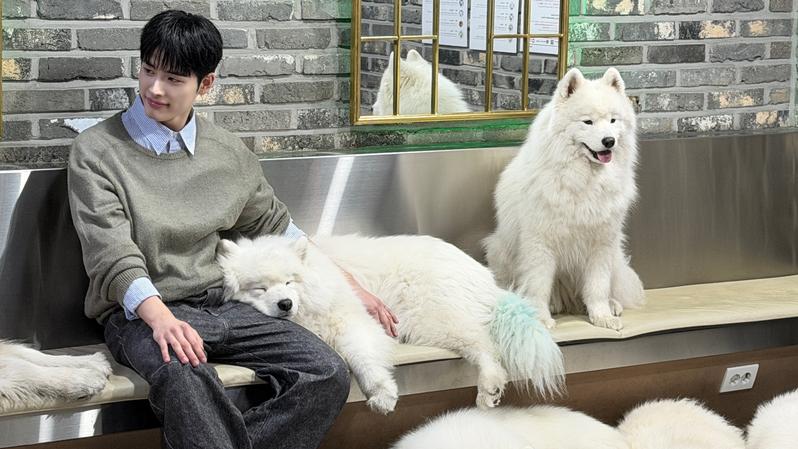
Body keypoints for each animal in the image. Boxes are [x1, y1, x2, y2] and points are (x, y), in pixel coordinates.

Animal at [216, 234, 564, 414]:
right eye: (259, 288)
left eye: (290, 282)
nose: (285, 304)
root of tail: (486, 279)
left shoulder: (352, 320)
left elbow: (364, 358)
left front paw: (382, 395)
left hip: (433, 317)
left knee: (484, 346)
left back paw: (489, 386)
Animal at [484, 67, 645, 330]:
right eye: (587, 122)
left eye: (613, 120)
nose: (609, 141)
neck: (582, 180)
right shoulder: (540, 243)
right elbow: (538, 285)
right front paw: (540, 318)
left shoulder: (601, 244)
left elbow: (598, 286)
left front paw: (601, 316)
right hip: (500, 250)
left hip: (615, 254)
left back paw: (611, 304)